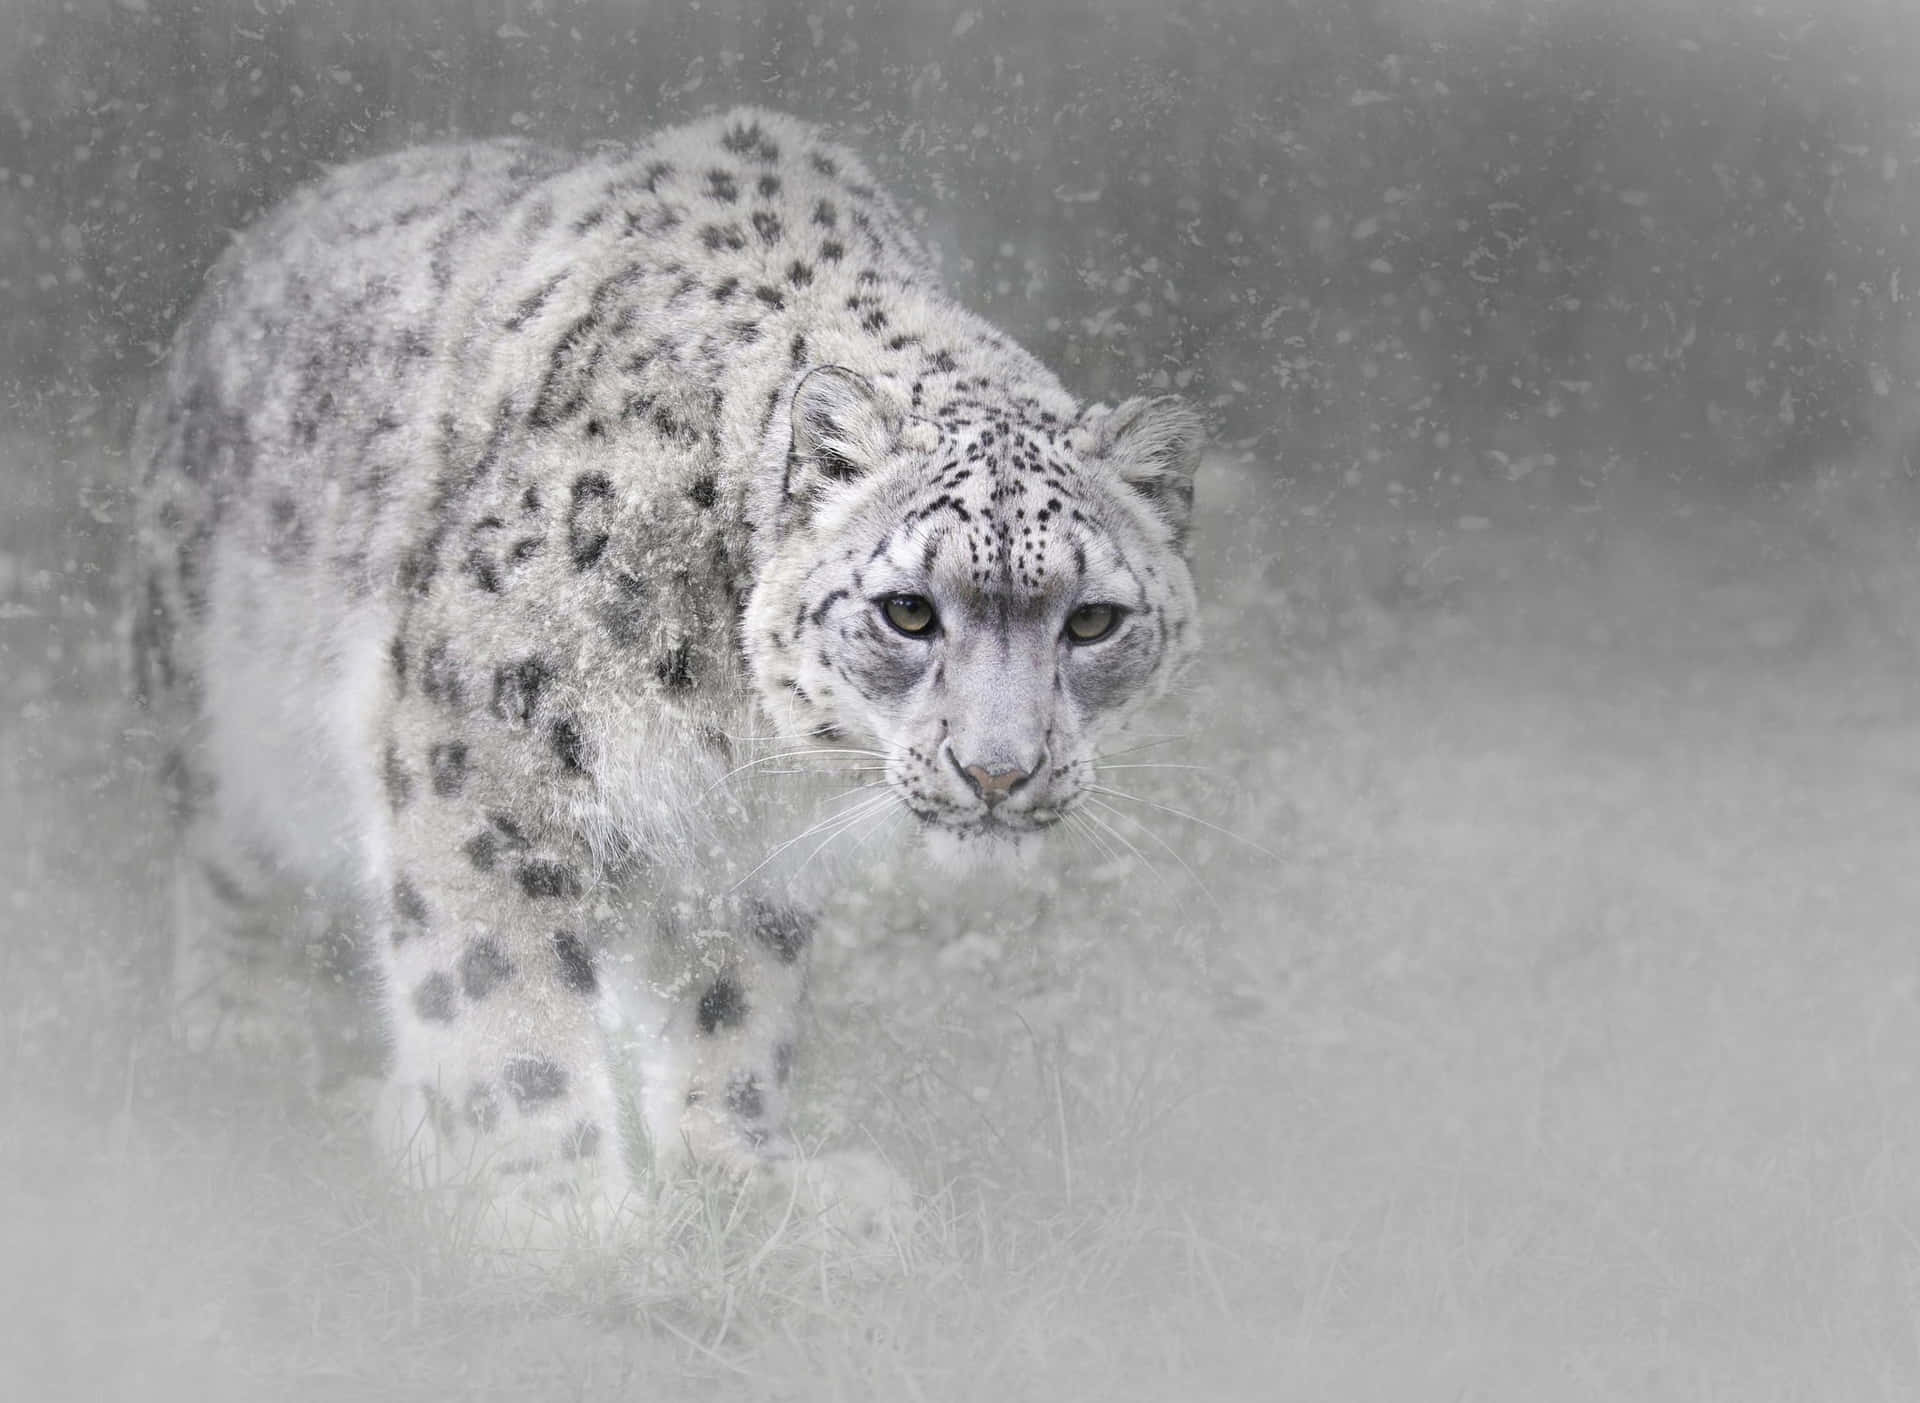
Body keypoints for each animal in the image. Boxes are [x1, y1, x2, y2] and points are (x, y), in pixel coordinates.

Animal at [128, 107, 1203, 1248]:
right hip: (217, 697)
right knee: (225, 855)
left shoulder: (755, 847)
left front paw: (747, 1171)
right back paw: (247, 1024)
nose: (999, 771)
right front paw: (560, 1211)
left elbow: (735, 1002)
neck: (737, 726)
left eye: (1092, 620)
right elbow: (498, 984)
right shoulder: (481, 752)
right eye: (909, 610)